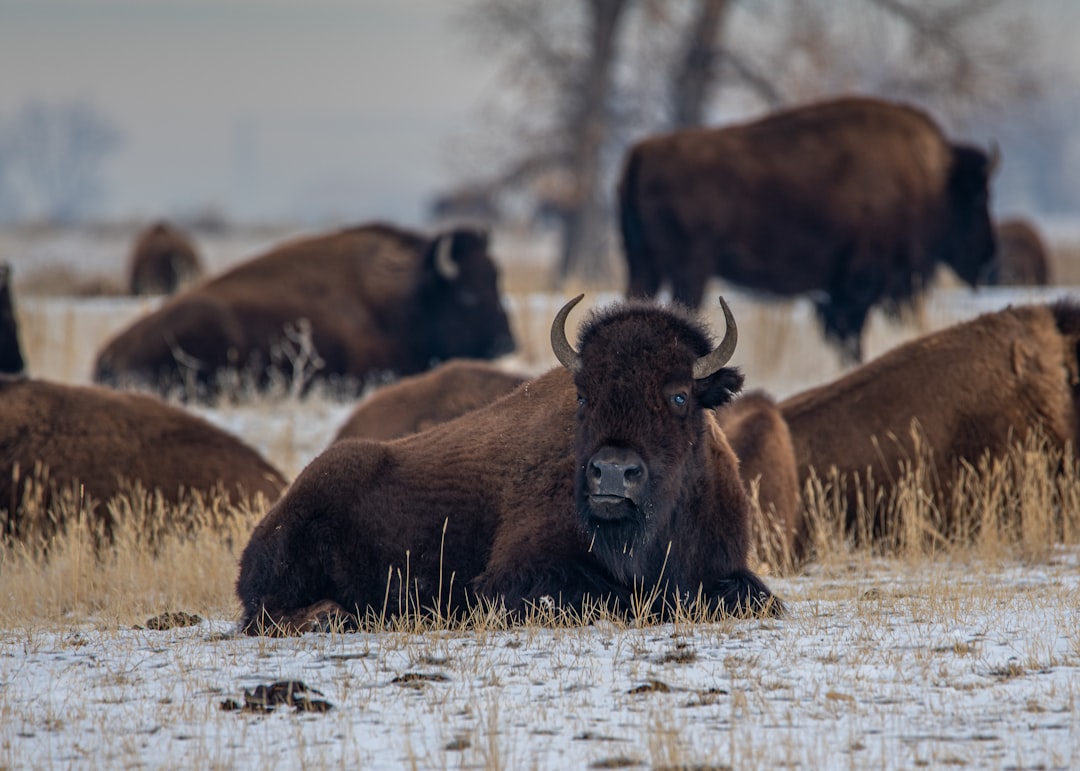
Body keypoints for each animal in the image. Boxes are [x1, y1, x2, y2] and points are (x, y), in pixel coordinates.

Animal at [617, 95, 993, 360]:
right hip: (689, 270)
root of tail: (642, 152)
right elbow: (847, 333)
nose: (988, 261)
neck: (931, 180)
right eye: (978, 198)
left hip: (644, 265)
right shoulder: (864, 282)